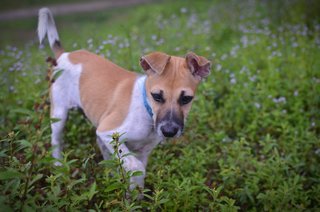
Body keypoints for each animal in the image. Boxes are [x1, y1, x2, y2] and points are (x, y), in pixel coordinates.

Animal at [38, 7, 210, 194]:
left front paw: (134, 197)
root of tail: (63, 55)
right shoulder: (109, 132)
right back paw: (58, 168)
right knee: (56, 141)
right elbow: (136, 167)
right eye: (156, 96)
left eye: (186, 98)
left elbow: (137, 177)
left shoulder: (143, 150)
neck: (146, 110)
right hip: (59, 115)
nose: (169, 131)